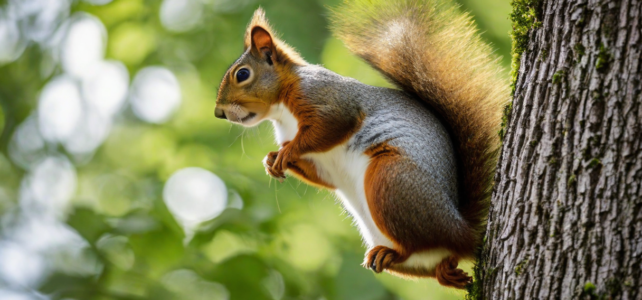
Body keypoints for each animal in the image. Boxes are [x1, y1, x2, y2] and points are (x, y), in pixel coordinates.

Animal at [214, 0, 504, 290]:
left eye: (243, 74)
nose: (219, 113)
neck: (281, 111)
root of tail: (461, 230)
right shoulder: (322, 163)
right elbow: (322, 176)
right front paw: (271, 160)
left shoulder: (328, 101)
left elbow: (329, 127)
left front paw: (288, 152)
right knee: (437, 263)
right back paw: (443, 272)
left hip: (393, 180)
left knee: (416, 243)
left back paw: (396, 252)